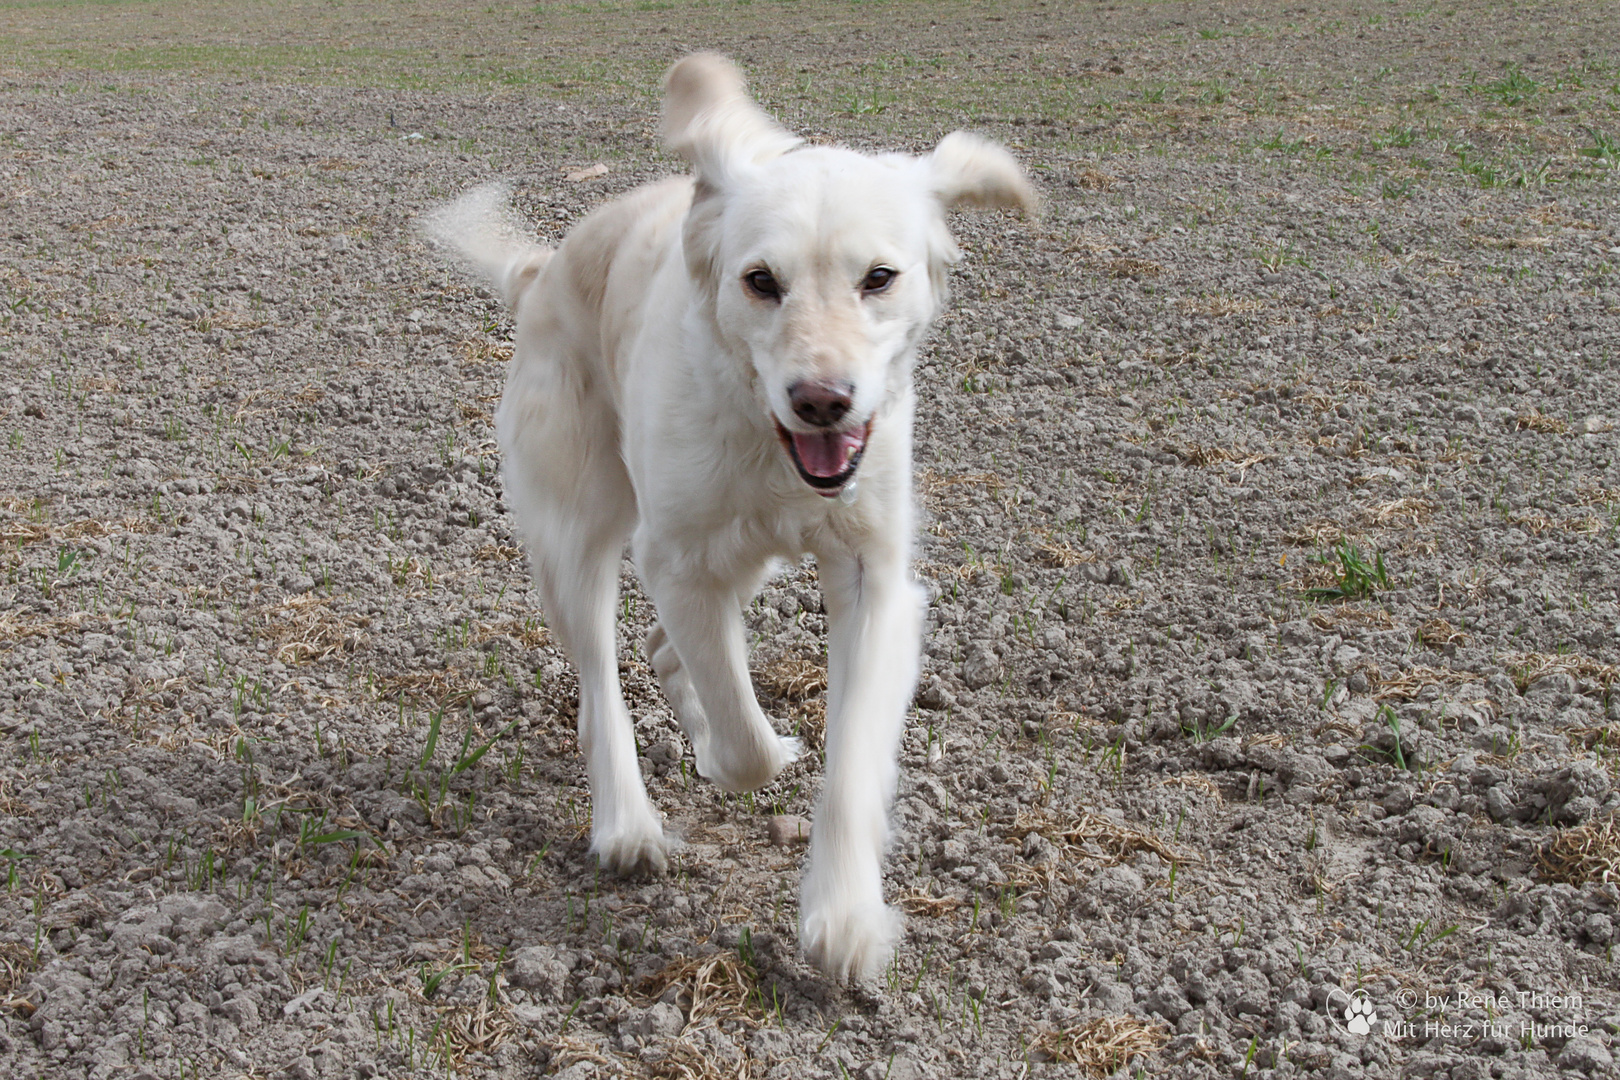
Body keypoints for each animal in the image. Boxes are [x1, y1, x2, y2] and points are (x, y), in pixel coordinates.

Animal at [427, 55, 1036, 984]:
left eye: (879, 277)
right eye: (761, 281)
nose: (822, 399)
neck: (766, 441)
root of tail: (543, 271)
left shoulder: (874, 577)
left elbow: (852, 756)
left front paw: (845, 918)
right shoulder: (674, 559)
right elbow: (743, 733)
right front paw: (737, 752)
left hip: (743, 558)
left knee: (660, 647)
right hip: (578, 534)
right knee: (604, 679)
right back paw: (629, 823)